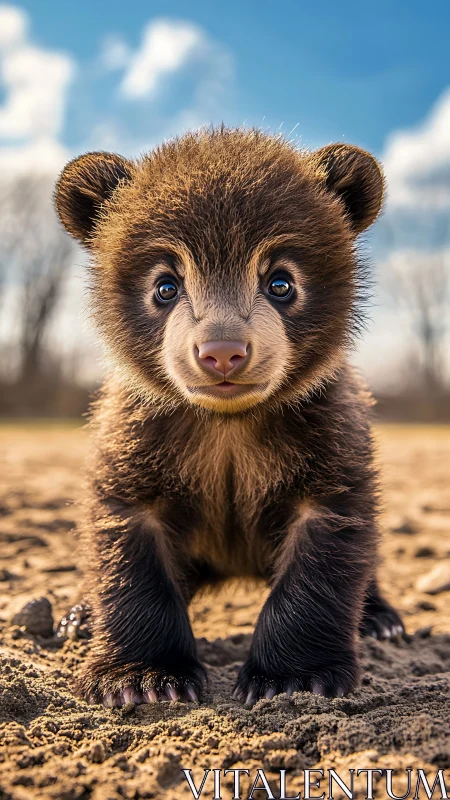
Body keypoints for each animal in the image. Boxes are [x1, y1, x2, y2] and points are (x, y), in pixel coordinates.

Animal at [54, 127, 404, 708]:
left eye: (280, 282)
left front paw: (291, 677)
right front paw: (143, 678)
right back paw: (78, 617)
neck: (228, 425)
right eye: (166, 285)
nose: (222, 351)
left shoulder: (330, 433)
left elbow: (327, 547)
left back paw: (381, 619)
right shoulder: (137, 437)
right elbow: (128, 543)